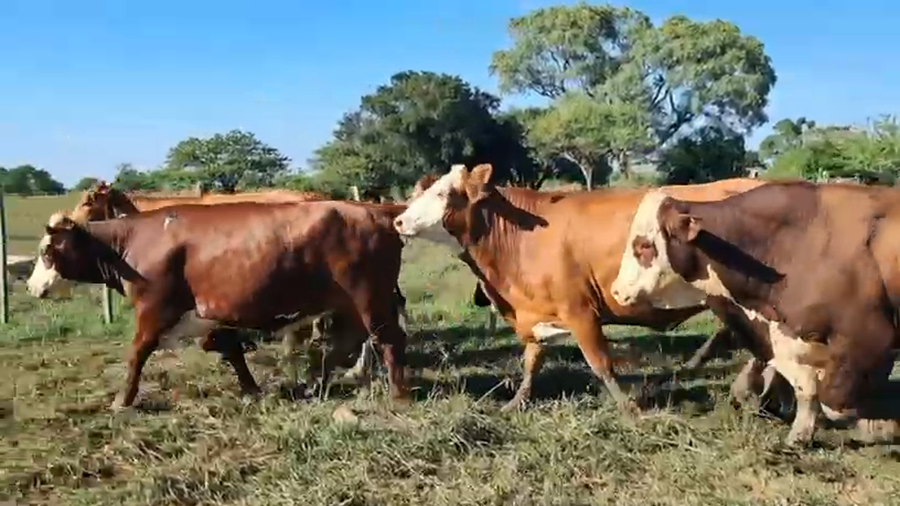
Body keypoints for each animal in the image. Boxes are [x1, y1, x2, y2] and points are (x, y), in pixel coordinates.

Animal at [26, 201, 410, 410]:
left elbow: (137, 353)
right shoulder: (209, 316)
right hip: (351, 303)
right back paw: (326, 383)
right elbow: (230, 350)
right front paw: (253, 390)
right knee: (352, 341)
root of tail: (374, 210)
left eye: (47, 252)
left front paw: (122, 400)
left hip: (370, 297)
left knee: (389, 340)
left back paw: (398, 395)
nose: (31, 287)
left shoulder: (154, 309)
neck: (131, 243)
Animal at [391, 163, 772, 413]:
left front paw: (628, 409)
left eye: (443, 193)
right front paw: (515, 403)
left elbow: (600, 363)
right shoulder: (537, 311)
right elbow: (531, 362)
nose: (398, 220)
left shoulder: (580, 311)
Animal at [610, 180, 900, 445]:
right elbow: (807, 389)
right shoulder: (782, 335)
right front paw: (799, 433)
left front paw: (879, 425)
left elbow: (836, 402)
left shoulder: (870, 338)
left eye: (644, 246)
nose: (616, 290)